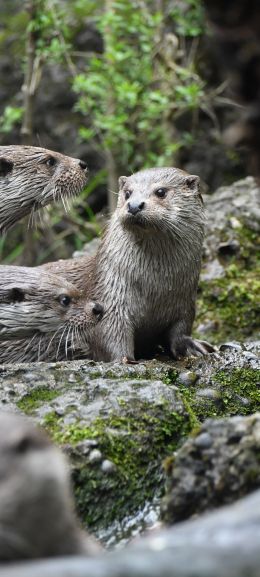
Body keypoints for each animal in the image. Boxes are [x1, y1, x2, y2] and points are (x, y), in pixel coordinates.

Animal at [41, 166, 214, 360]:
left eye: (161, 192)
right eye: (128, 193)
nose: (134, 205)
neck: (155, 289)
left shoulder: (185, 302)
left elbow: (180, 330)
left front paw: (192, 347)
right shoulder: (111, 296)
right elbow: (110, 331)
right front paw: (126, 359)